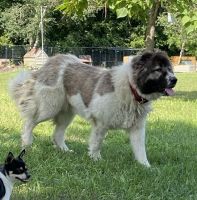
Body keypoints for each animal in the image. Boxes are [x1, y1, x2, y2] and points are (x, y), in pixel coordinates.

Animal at [9, 50, 177, 167]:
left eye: (170, 69)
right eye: (157, 69)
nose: (175, 79)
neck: (131, 88)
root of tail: (52, 61)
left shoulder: (137, 128)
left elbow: (140, 149)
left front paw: (146, 167)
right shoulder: (100, 123)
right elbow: (97, 143)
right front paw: (96, 160)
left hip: (66, 113)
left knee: (57, 133)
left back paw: (65, 151)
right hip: (50, 106)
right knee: (30, 122)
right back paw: (26, 143)